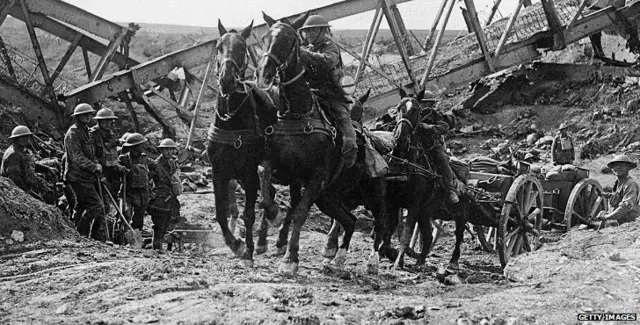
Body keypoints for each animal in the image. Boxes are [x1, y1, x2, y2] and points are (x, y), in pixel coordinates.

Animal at [206, 20, 278, 266]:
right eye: (219, 46)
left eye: (242, 47)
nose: (227, 80)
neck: (231, 121)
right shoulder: (219, 172)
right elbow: (220, 212)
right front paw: (234, 243)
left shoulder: (248, 173)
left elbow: (249, 213)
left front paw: (247, 250)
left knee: (267, 195)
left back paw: (263, 240)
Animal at [255, 10, 384, 274]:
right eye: (264, 38)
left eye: (288, 39)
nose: (264, 73)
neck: (298, 114)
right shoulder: (281, 168)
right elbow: (265, 185)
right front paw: (271, 221)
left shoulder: (316, 177)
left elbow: (300, 212)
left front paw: (290, 260)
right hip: (331, 197)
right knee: (349, 220)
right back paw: (334, 256)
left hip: (371, 196)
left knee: (379, 226)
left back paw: (367, 261)